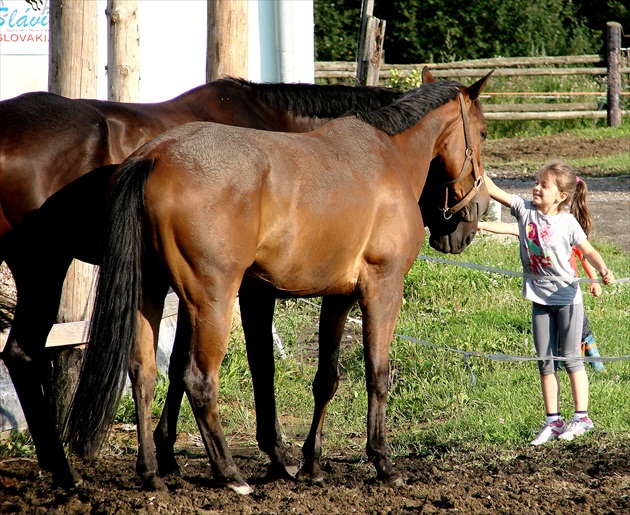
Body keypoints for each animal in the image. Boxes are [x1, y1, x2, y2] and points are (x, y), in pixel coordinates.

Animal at [0, 78, 404, 490]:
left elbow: (176, 363)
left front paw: (165, 454)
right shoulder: (249, 290)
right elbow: (259, 363)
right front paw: (275, 454)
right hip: (44, 265)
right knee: (23, 352)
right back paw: (63, 469)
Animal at [65, 73, 494, 496]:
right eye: (483, 132)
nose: (474, 217)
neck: (388, 153)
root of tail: (154, 156)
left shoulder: (337, 297)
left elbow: (325, 379)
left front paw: (311, 464)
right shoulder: (381, 288)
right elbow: (377, 373)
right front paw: (382, 462)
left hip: (150, 292)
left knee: (145, 373)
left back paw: (152, 471)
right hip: (211, 301)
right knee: (198, 380)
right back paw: (229, 474)